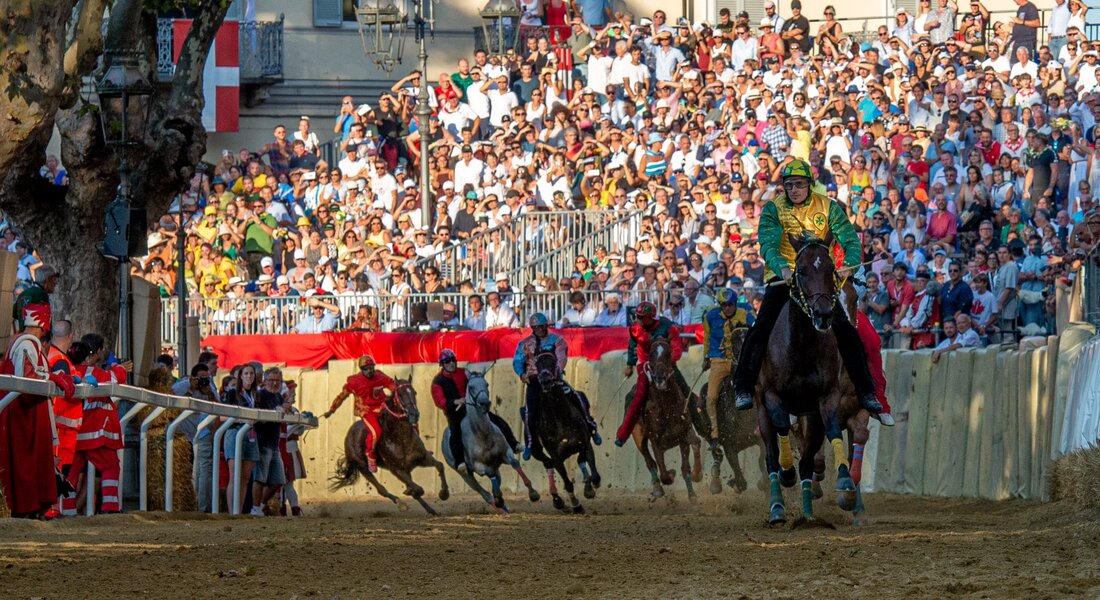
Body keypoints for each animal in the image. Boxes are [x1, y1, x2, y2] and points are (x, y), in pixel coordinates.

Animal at [327, 378, 448, 515]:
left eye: (415, 392)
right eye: (399, 394)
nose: (414, 413)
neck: (401, 439)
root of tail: (349, 434)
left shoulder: (422, 458)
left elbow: (440, 466)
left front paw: (444, 494)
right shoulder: (396, 469)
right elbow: (418, 489)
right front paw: (412, 492)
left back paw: (431, 510)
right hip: (363, 467)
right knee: (381, 489)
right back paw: (401, 503)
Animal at [440, 367, 539, 513]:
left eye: (486, 384)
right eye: (471, 387)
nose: (484, 403)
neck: (483, 435)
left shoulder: (506, 453)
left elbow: (515, 463)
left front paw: (533, 493)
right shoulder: (479, 466)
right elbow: (489, 476)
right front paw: (499, 499)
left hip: (495, 466)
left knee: (496, 482)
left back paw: (503, 505)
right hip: (465, 474)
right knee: (484, 493)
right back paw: (499, 506)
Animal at [525, 352, 602, 513]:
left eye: (553, 362)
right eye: (537, 364)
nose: (545, 380)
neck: (560, 419)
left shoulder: (584, 443)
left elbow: (594, 474)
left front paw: (591, 487)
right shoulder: (556, 456)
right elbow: (567, 483)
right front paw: (576, 505)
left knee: (579, 461)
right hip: (536, 449)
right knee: (547, 462)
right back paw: (557, 500)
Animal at [629, 336, 704, 499]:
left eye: (668, 353)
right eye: (651, 353)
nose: (660, 379)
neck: (667, 409)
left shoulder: (684, 433)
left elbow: (693, 449)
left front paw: (696, 479)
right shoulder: (655, 440)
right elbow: (664, 474)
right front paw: (671, 474)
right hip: (638, 436)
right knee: (649, 461)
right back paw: (657, 488)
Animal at [756, 233, 858, 524]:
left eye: (831, 269)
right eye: (800, 271)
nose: (823, 313)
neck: (800, 346)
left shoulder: (827, 396)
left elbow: (833, 428)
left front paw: (845, 484)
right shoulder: (771, 395)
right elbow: (781, 425)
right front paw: (786, 471)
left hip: (811, 418)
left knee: (808, 462)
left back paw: (809, 514)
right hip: (761, 410)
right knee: (771, 456)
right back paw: (778, 507)